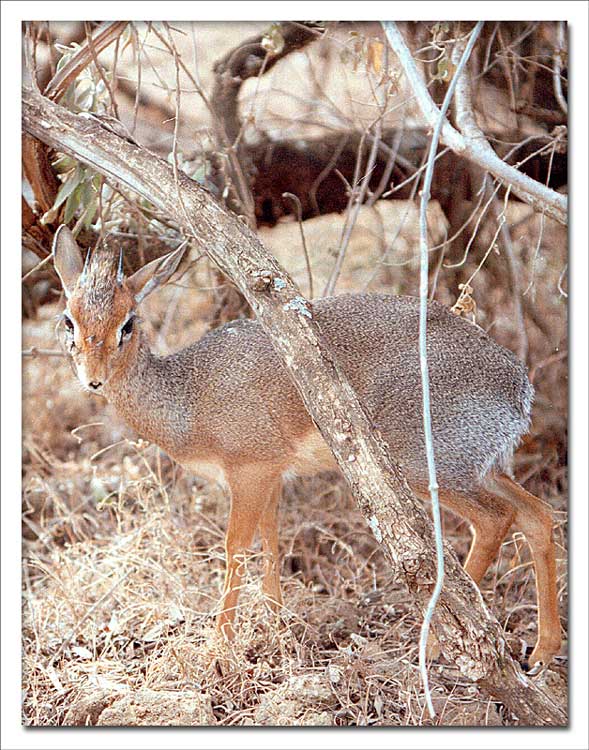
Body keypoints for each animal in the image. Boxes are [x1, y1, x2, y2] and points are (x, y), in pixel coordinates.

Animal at [51, 226, 560, 672]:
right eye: (69, 319)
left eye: (128, 323)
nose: (93, 379)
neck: (187, 397)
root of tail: (517, 385)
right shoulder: (271, 475)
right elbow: (273, 541)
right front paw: (278, 626)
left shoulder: (248, 471)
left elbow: (236, 548)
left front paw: (219, 651)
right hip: (482, 467)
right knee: (537, 513)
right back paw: (541, 652)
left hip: (428, 469)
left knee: (494, 520)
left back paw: (436, 646)